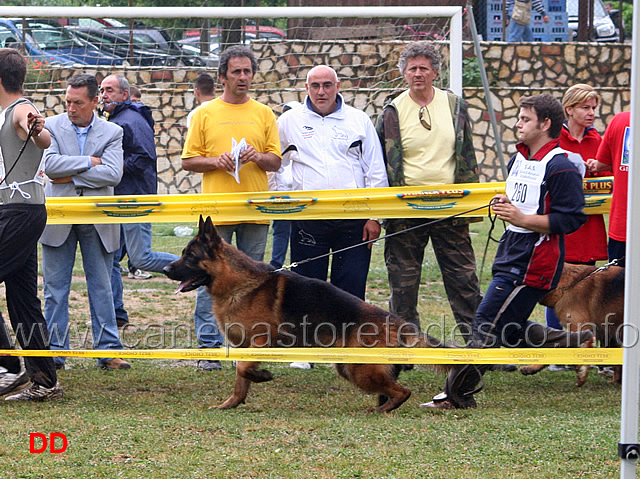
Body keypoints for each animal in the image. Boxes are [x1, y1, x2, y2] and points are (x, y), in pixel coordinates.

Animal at [165, 218, 444, 412]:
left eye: (190, 256)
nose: (166, 269)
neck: (239, 284)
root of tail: (398, 323)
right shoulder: (244, 347)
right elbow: (240, 379)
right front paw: (232, 403)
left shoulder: (262, 341)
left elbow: (244, 369)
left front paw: (262, 376)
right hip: (351, 368)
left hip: (359, 369)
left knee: (403, 391)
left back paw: (379, 410)